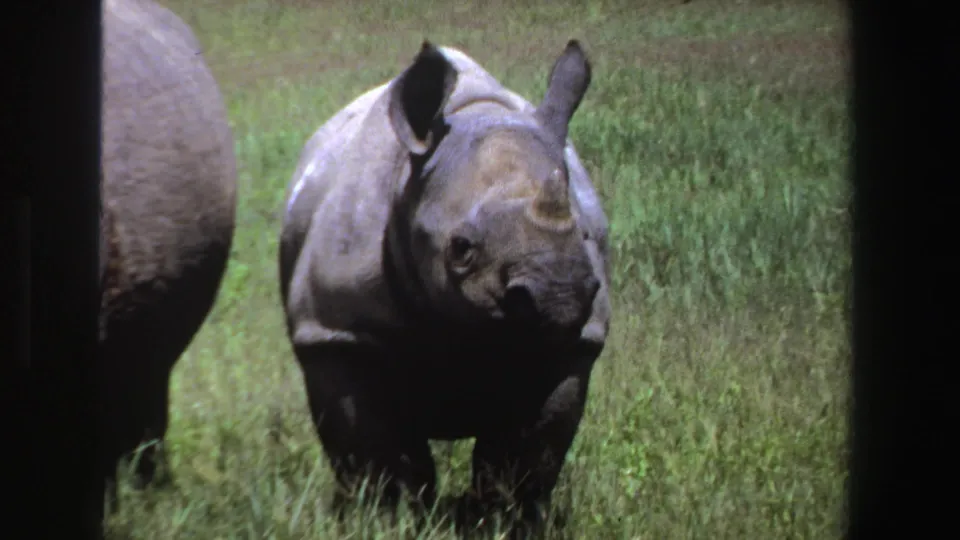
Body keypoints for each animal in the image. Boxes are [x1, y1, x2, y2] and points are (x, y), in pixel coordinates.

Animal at [279, 41, 611, 533]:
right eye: (461, 248)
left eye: (585, 235)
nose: (559, 296)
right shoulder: (337, 332)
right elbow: (378, 455)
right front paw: (390, 523)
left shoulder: (570, 344)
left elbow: (524, 457)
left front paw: (504, 524)